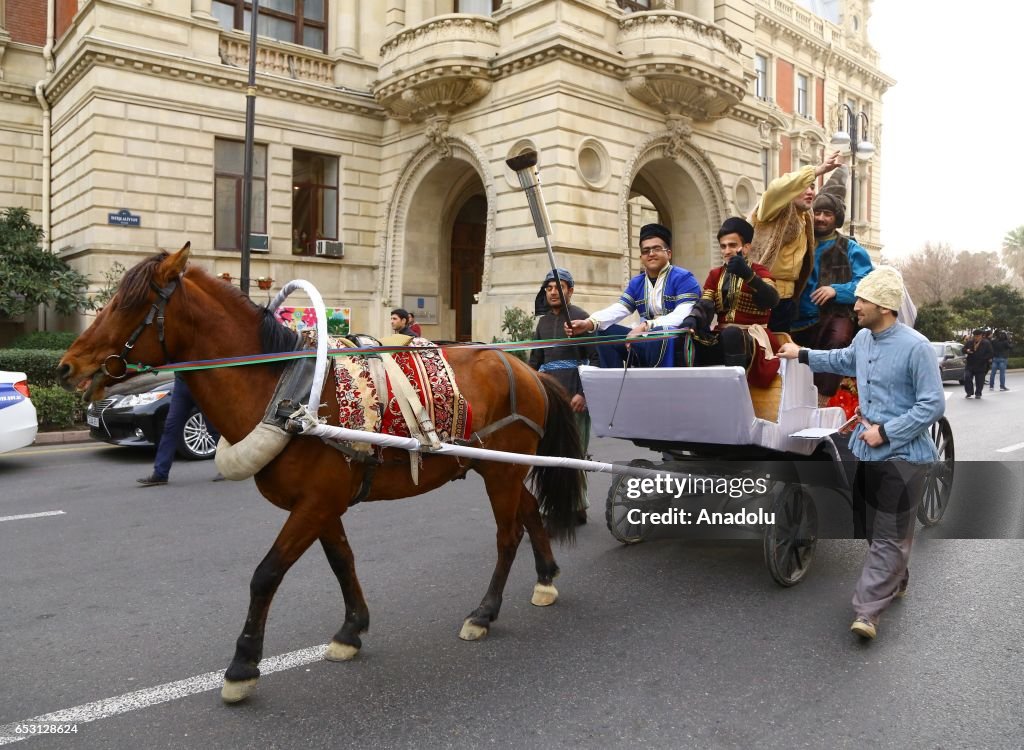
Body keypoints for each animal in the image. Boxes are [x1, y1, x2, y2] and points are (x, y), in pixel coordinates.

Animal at [58, 244, 585, 704]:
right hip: (502, 468)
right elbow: (341, 562)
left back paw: (485, 612)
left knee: (507, 534)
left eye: (131, 303)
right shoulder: (321, 504)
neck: (281, 391)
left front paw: (243, 666)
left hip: (500, 470)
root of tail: (527, 368)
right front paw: (352, 630)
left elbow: (266, 574)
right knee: (529, 511)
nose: (66, 366)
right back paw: (546, 578)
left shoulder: (314, 504)